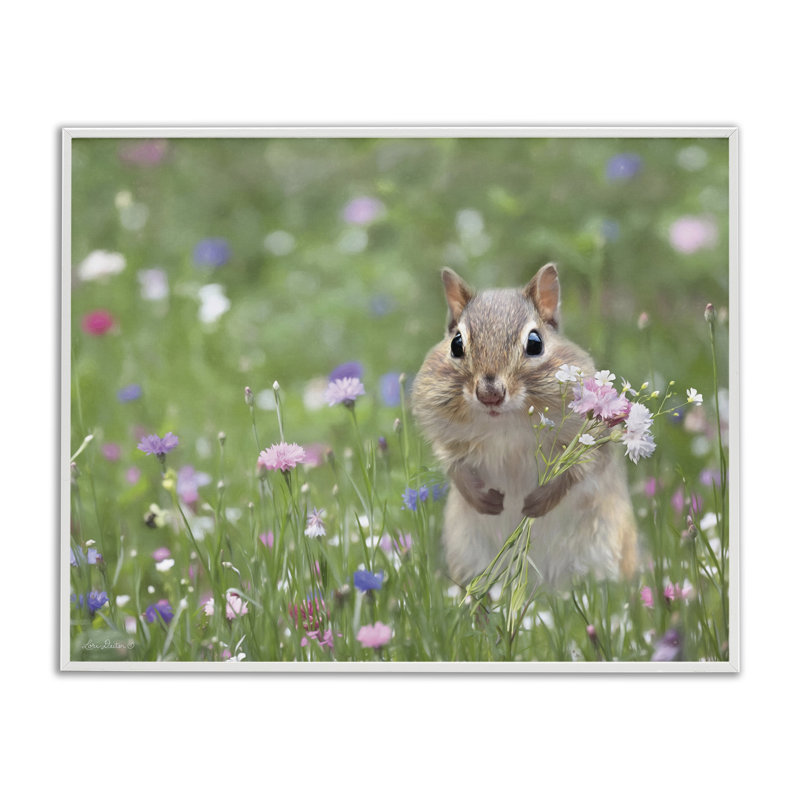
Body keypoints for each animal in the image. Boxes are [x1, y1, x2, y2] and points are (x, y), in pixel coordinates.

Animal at [411, 264, 638, 588]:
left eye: (535, 343)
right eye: (456, 344)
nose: (490, 394)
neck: (504, 423)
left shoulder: (588, 440)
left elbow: (578, 471)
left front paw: (536, 504)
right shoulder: (446, 437)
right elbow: (454, 466)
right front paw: (484, 500)